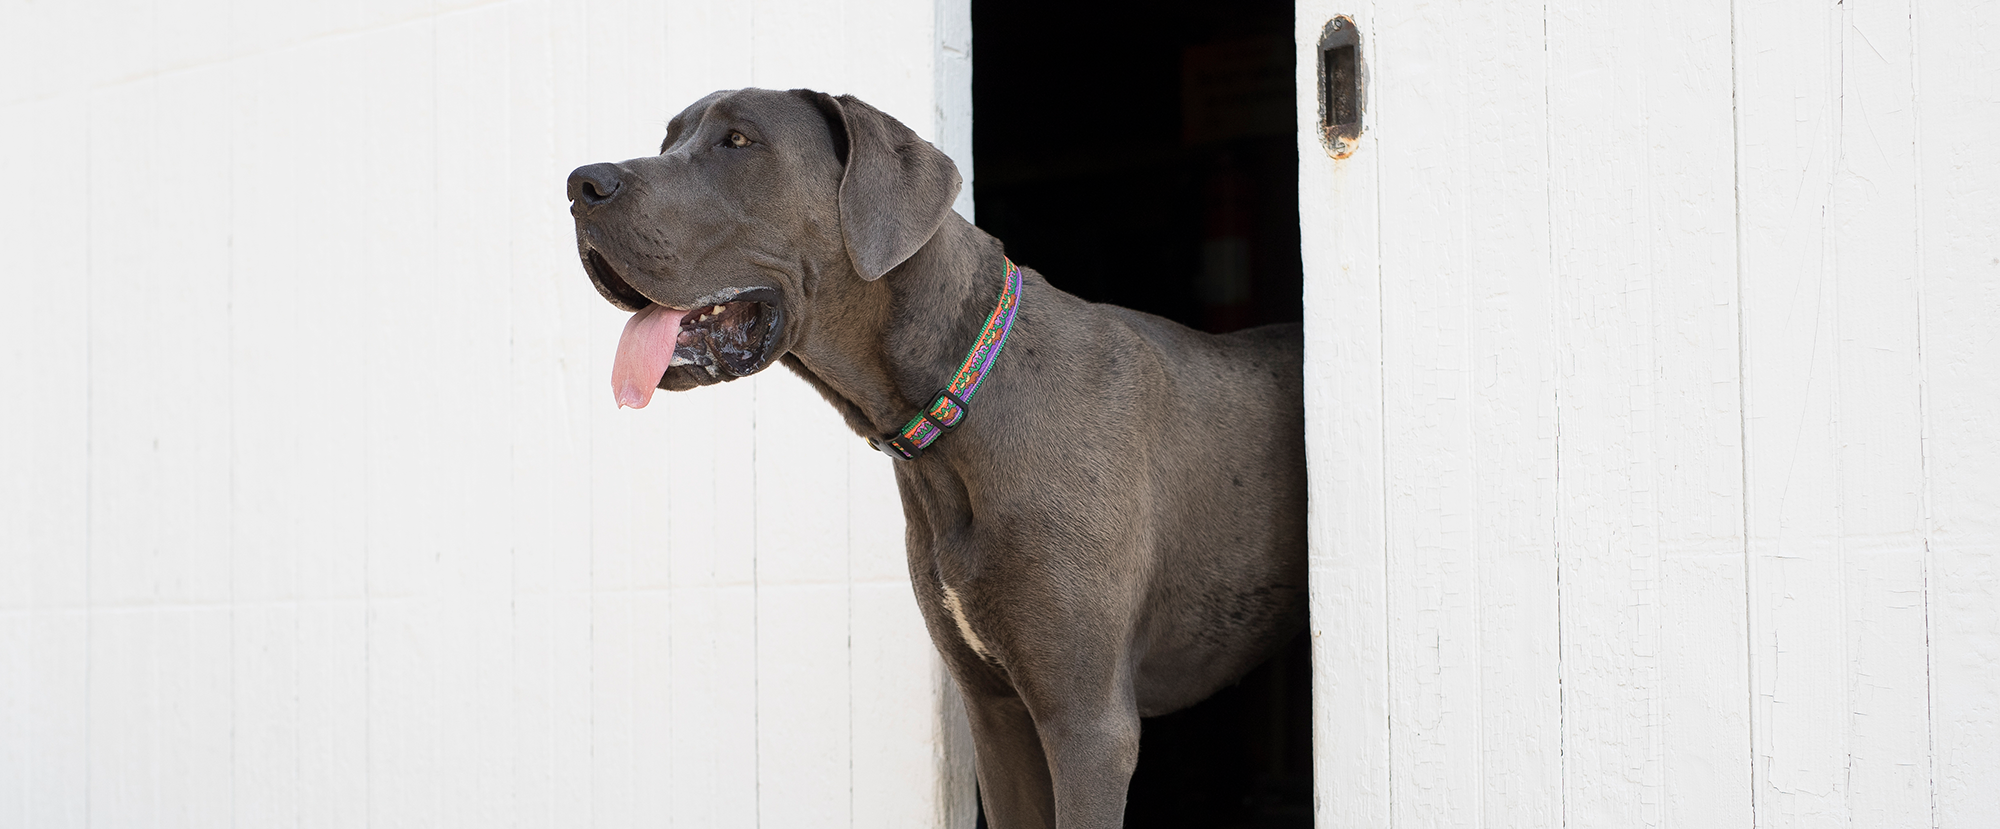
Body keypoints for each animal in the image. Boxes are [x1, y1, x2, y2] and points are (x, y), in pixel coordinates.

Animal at [568, 89, 1312, 829]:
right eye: (668, 142)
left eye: (739, 142)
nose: (581, 185)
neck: (963, 407)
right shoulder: (997, 713)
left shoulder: (1088, 727)